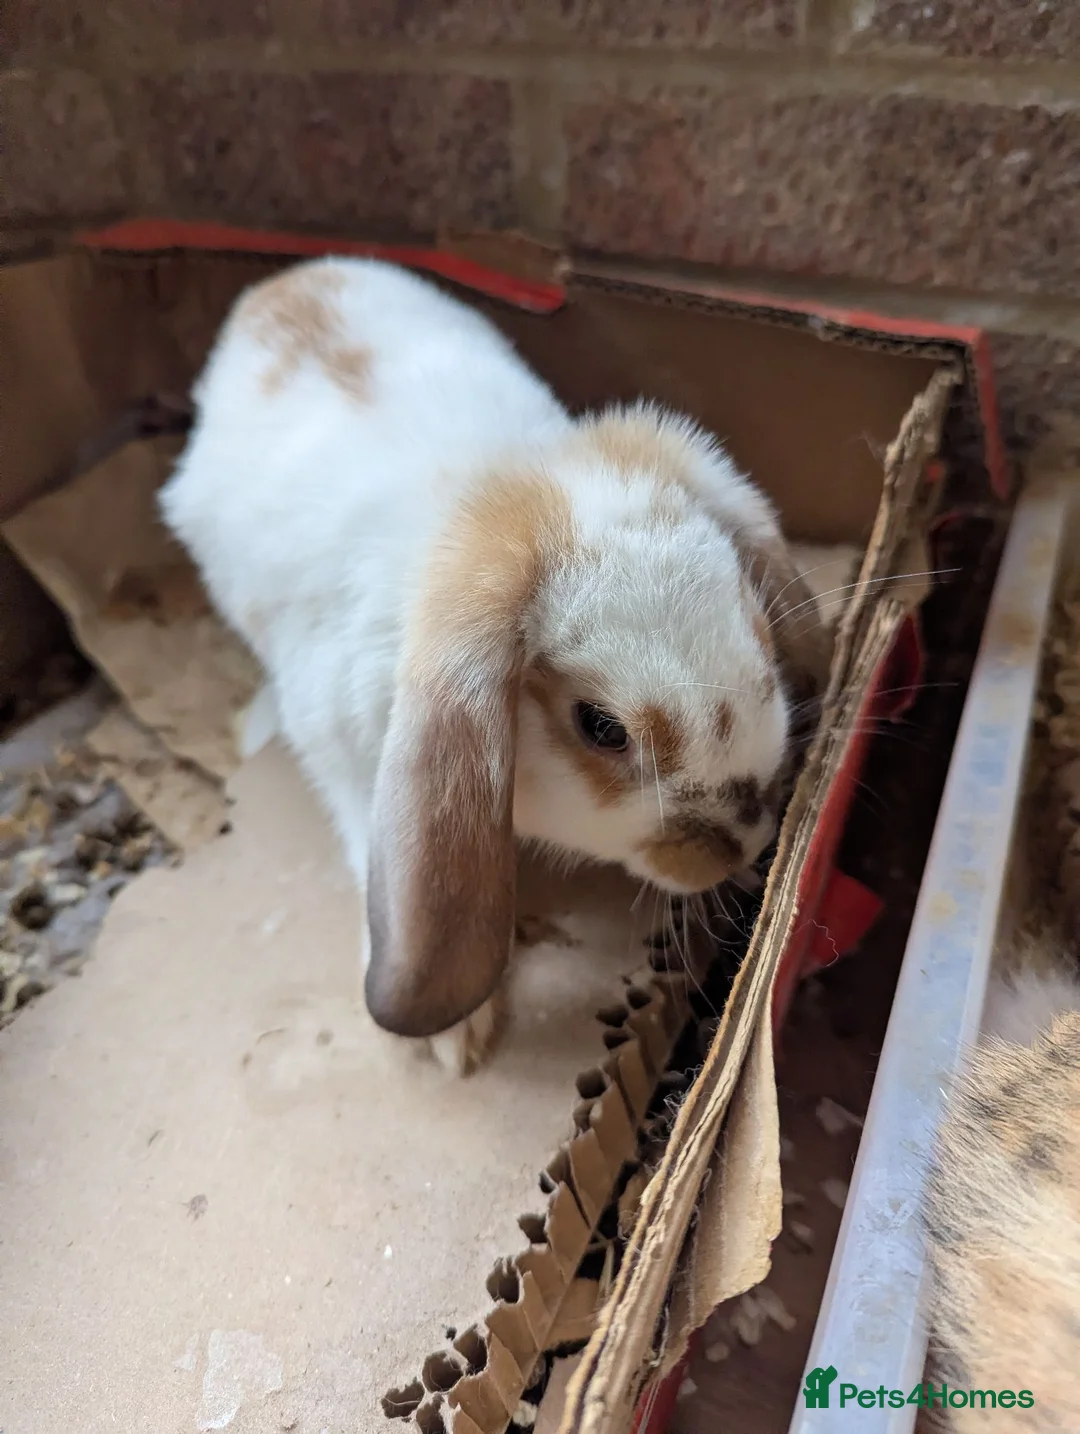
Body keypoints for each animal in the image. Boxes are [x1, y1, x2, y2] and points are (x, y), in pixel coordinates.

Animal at [160, 257, 830, 1075]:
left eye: (756, 624)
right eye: (601, 727)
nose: (745, 844)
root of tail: (281, 284)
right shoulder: (345, 760)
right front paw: (456, 1038)